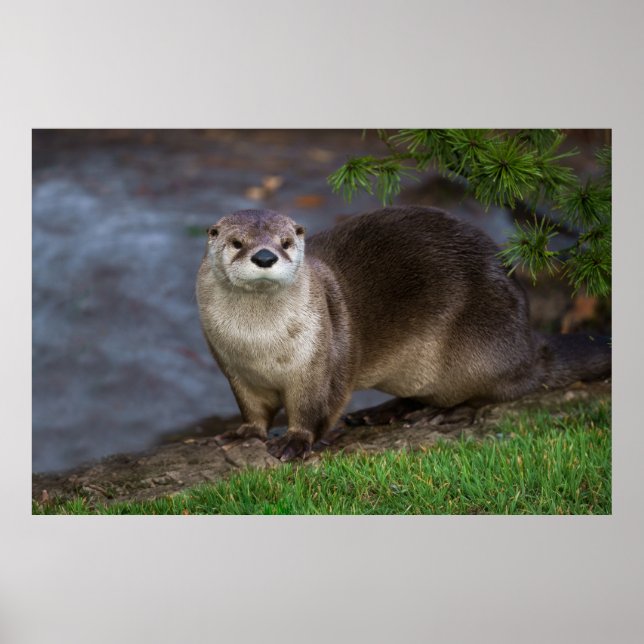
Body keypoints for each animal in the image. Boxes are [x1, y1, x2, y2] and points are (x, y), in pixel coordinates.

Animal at [196, 207, 611, 461]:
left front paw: (296, 441)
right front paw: (244, 433)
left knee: (494, 393)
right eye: (237, 242)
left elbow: (316, 409)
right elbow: (253, 409)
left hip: (480, 349)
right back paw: (385, 411)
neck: (259, 346)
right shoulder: (234, 369)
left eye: (286, 243)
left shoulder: (320, 367)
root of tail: (529, 343)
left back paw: (443, 413)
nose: (265, 256)